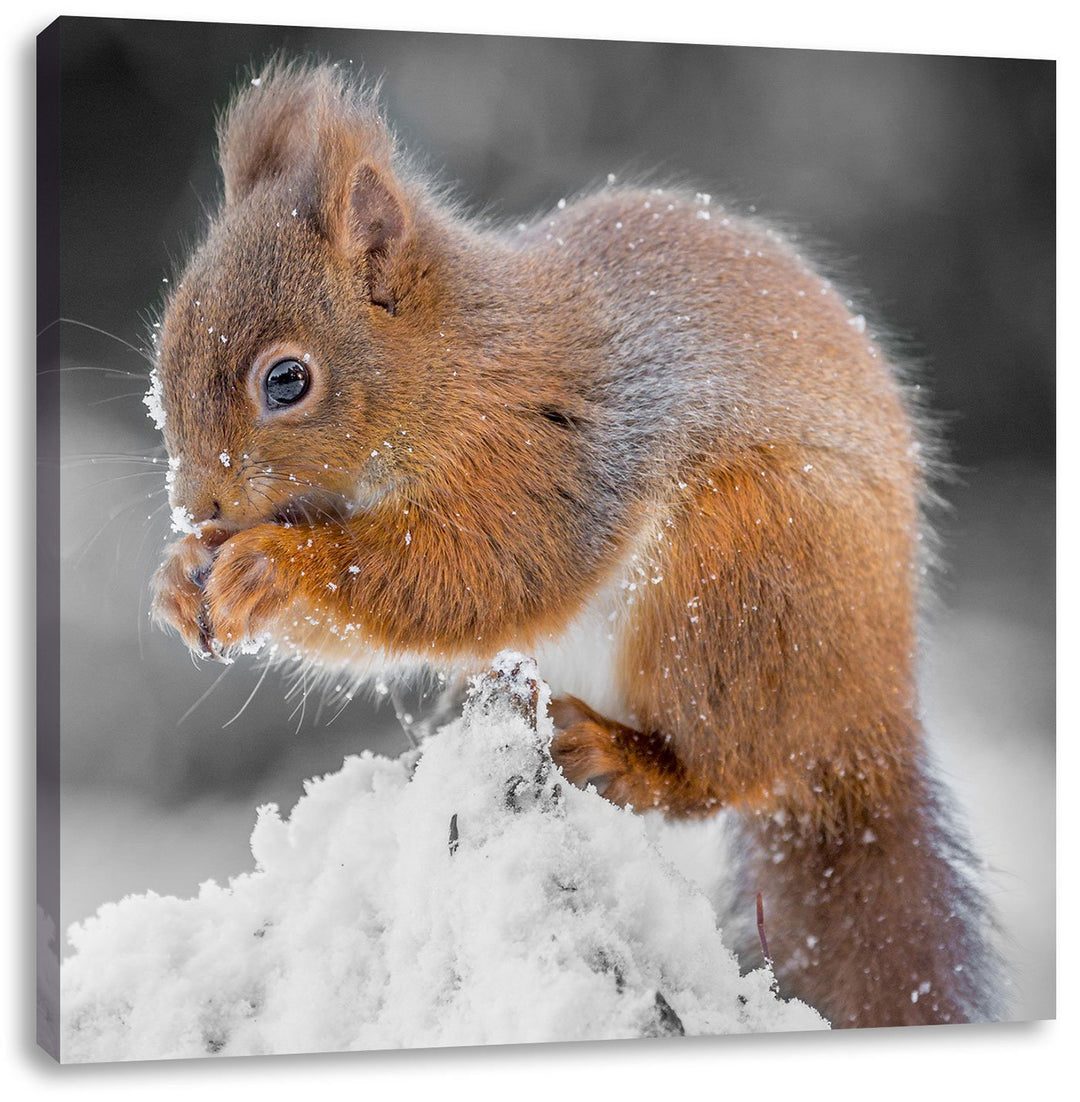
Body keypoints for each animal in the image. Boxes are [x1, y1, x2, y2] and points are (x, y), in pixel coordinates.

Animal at [149, 60, 1000, 1029]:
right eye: (165, 346)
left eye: (287, 380)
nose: (198, 505)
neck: (452, 365)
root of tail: (869, 716)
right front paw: (181, 578)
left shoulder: (544, 455)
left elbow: (477, 574)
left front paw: (272, 567)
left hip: (741, 581)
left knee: (722, 771)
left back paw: (621, 755)